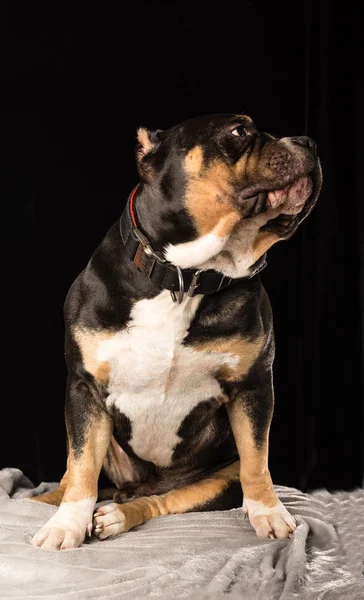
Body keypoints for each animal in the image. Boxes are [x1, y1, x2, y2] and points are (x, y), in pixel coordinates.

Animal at [29, 112, 322, 548]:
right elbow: (80, 467)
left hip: (216, 479)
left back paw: (119, 514)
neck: (186, 277)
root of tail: (140, 486)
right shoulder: (85, 389)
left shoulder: (254, 386)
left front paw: (268, 512)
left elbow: (257, 460)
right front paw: (66, 524)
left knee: (162, 500)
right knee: (74, 473)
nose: (309, 142)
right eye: (239, 131)